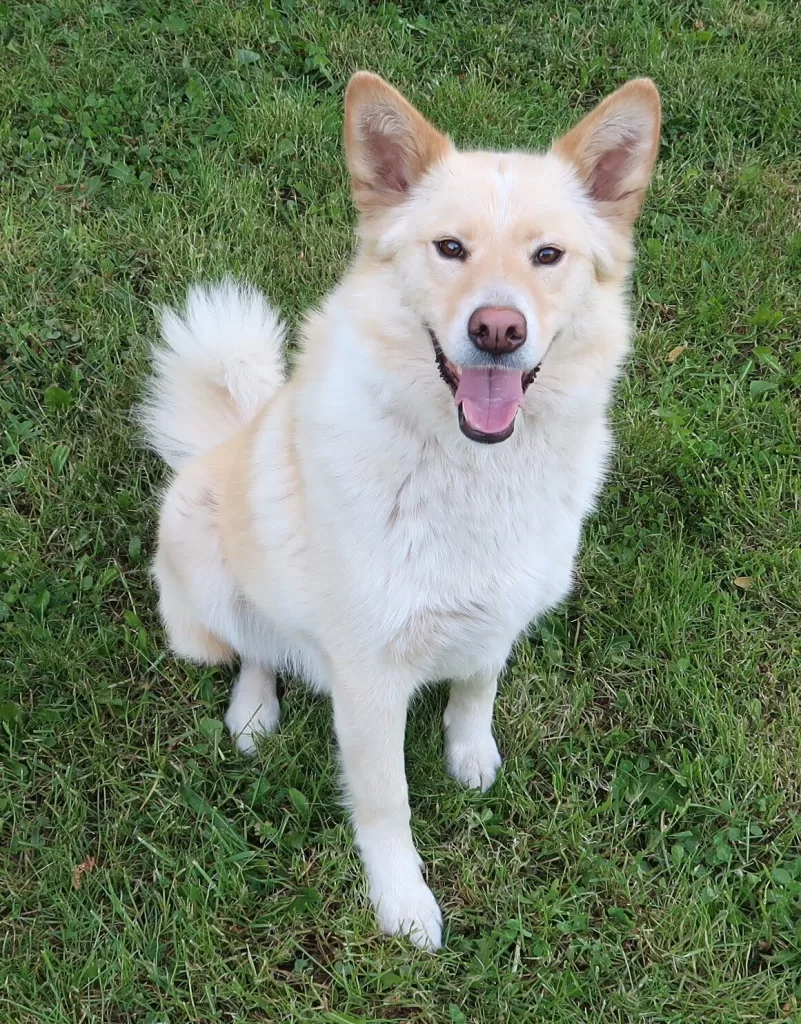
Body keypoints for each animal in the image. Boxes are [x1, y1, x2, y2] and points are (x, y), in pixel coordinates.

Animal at [141, 72, 660, 950]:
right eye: (449, 248)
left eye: (546, 256)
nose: (497, 329)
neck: (471, 470)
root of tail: (225, 436)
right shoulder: (367, 680)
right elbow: (387, 806)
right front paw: (401, 902)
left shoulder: (498, 613)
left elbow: (477, 686)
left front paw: (470, 753)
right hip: (205, 590)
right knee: (254, 646)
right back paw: (253, 712)